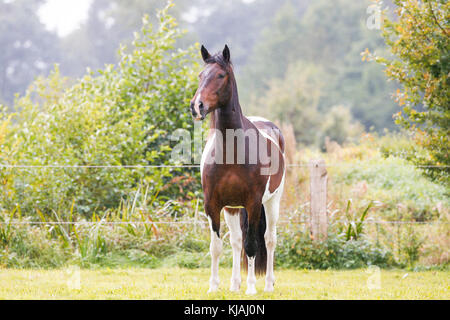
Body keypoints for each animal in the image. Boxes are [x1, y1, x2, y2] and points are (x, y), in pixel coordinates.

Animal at [190, 45, 284, 296]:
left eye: (221, 75)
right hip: (232, 208)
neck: (231, 151)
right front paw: (213, 287)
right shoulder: (213, 205)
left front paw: (251, 288)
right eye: (201, 75)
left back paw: (268, 284)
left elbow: (252, 246)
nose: (197, 106)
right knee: (236, 241)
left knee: (269, 239)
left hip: (272, 202)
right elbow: (216, 246)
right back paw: (234, 284)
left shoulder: (253, 203)